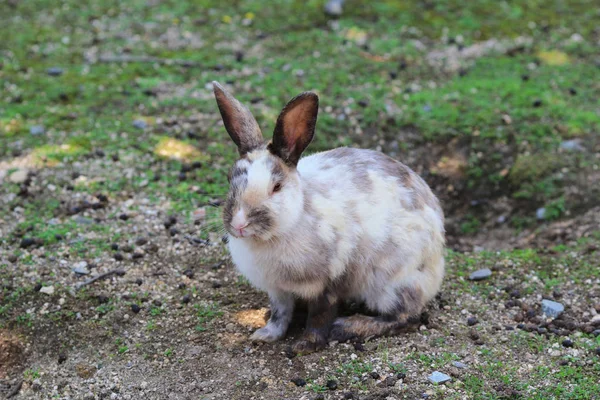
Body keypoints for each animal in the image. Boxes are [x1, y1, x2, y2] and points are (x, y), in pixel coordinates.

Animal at [213, 81, 442, 354]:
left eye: (276, 187)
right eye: (229, 178)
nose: (239, 224)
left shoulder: (327, 284)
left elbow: (320, 316)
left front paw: (305, 345)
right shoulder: (277, 290)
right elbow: (280, 314)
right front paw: (266, 335)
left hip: (392, 283)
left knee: (405, 318)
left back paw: (349, 326)